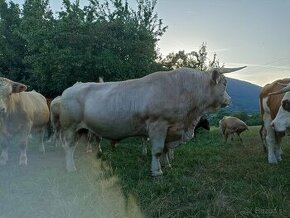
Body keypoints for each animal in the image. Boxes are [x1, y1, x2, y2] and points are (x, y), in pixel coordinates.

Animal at [58, 66, 245, 175]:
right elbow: (157, 150)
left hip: (79, 129)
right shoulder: (158, 125)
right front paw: (157, 172)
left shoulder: (170, 129)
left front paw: (167, 165)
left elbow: (166, 150)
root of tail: (71, 88)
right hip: (69, 127)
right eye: (225, 83)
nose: (229, 100)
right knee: (68, 147)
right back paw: (70, 167)